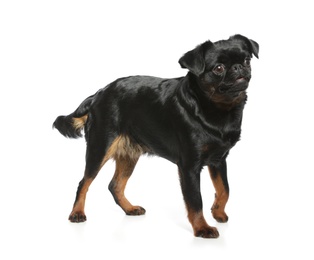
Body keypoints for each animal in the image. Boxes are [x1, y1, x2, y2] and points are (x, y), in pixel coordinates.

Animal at [54, 34, 258, 238]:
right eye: (219, 68)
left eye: (247, 60)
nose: (239, 67)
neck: (217, 108)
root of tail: (98, 94)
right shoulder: (189, 166)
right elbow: (195, 201)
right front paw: (202, 228)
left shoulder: (219, 160)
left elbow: (225, 189)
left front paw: (217, 211)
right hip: (100, 147)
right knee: (84, 182)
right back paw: (77, 213)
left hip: (129, 155)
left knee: (115, 185)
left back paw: (130, 208)